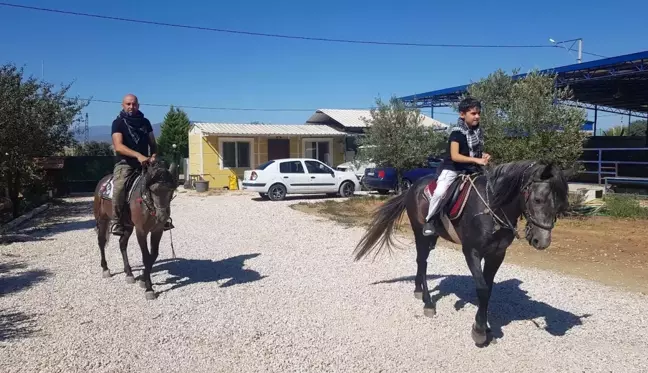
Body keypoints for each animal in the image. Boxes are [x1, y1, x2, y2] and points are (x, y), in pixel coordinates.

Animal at [93, 160, 177, 300]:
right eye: (153, 190)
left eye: (171, 189)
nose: (162, 217)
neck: (146, 202)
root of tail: (102, 182)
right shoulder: (141, 231)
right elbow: (146, 257)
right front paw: (149, 288)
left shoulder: (157, 230)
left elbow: (153, 255)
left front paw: (143, 279)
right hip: (103, 220)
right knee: (101, 242)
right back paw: (105, 269)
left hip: (128, 226)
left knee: (122, 244)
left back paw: (129, 273)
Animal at [354, 160, 572, 346]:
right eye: (538, 199)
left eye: (560, 205)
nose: (542, 242)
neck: (492, 207)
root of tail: (412, 187)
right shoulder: (471, 252)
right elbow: (482, 289)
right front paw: (480, 331)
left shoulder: (497, 254)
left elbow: (488, 289)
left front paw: (484, 326)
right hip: (420, 232)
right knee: (422, 262)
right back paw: (428, 302)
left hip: (432, 237)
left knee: (420, 262)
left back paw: (418, 290)